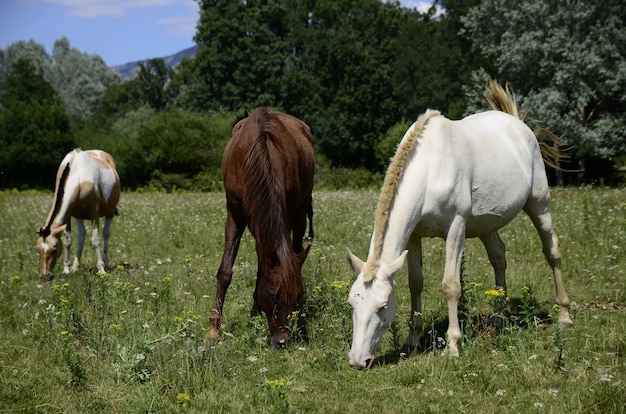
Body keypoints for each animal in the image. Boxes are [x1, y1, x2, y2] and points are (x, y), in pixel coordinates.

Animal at [36, 149, 120, 282]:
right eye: (38, 249)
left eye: (54, 249)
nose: (45, 276)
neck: (78, 175)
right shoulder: (69, 215)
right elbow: (67, 241)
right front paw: (66, 269)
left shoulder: (94, 212)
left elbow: (96, 240)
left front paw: (101, 269)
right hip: (79, 216)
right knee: (81, 235)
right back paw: (75, 267)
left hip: (109, 212)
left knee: (106, 234)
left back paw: (106, 262)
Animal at [206, 107, 314, 350]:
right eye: (274, 295)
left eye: (296, 295)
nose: (282, 341)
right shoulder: (234, 214)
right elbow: (225, 271)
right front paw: (213, 331)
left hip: (300, 212)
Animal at [344, 81, 572, 368]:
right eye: (352, 304)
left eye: (383, 306)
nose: (358, 360)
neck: (430, 169)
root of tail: (517, 123)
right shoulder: (413, 236)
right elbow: (415, 283)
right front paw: (412, 340)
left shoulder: (456, 228)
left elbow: (451, 285)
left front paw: (453, 345)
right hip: (488, 222)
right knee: (498, 257)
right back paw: (499, 318)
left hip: (539, 204)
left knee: (552, 251)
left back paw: (564, 315)